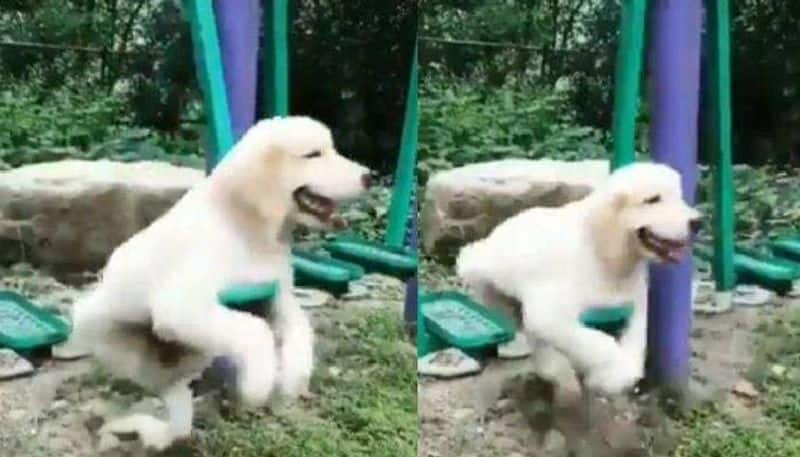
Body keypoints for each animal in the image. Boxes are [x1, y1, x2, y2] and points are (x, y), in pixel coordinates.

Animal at [70, 115, 370, 448]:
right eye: (313, 155)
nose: (369, 177)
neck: (245, 227)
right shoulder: (181, 305)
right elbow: (256, 331)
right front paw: (257, 385)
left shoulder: (278, 296)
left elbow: (300, 329)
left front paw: (292, 377)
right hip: (118, 336)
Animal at [456, 163, 700, 396]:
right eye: (652, 200)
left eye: (679, 196)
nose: (698, 222)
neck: (604, 254)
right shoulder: (548, 313)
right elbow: (597, 342)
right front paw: (610, 371)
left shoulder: (637, 301)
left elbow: (637, 337)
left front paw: (616, 376)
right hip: (483, 272)